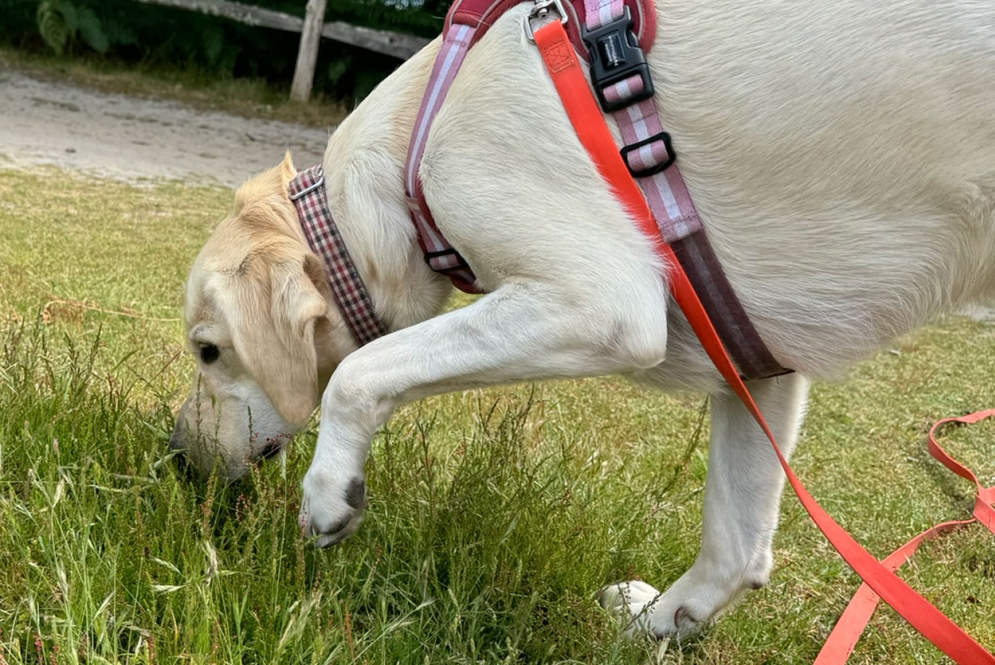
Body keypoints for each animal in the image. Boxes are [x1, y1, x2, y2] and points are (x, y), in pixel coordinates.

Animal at [171, 0, 995, 632]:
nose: (176, 459)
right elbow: (734, 550)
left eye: (209, 352)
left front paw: (328, 492)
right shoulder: (757, 365)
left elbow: (356, 370)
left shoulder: (602, 301)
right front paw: (652, 627)